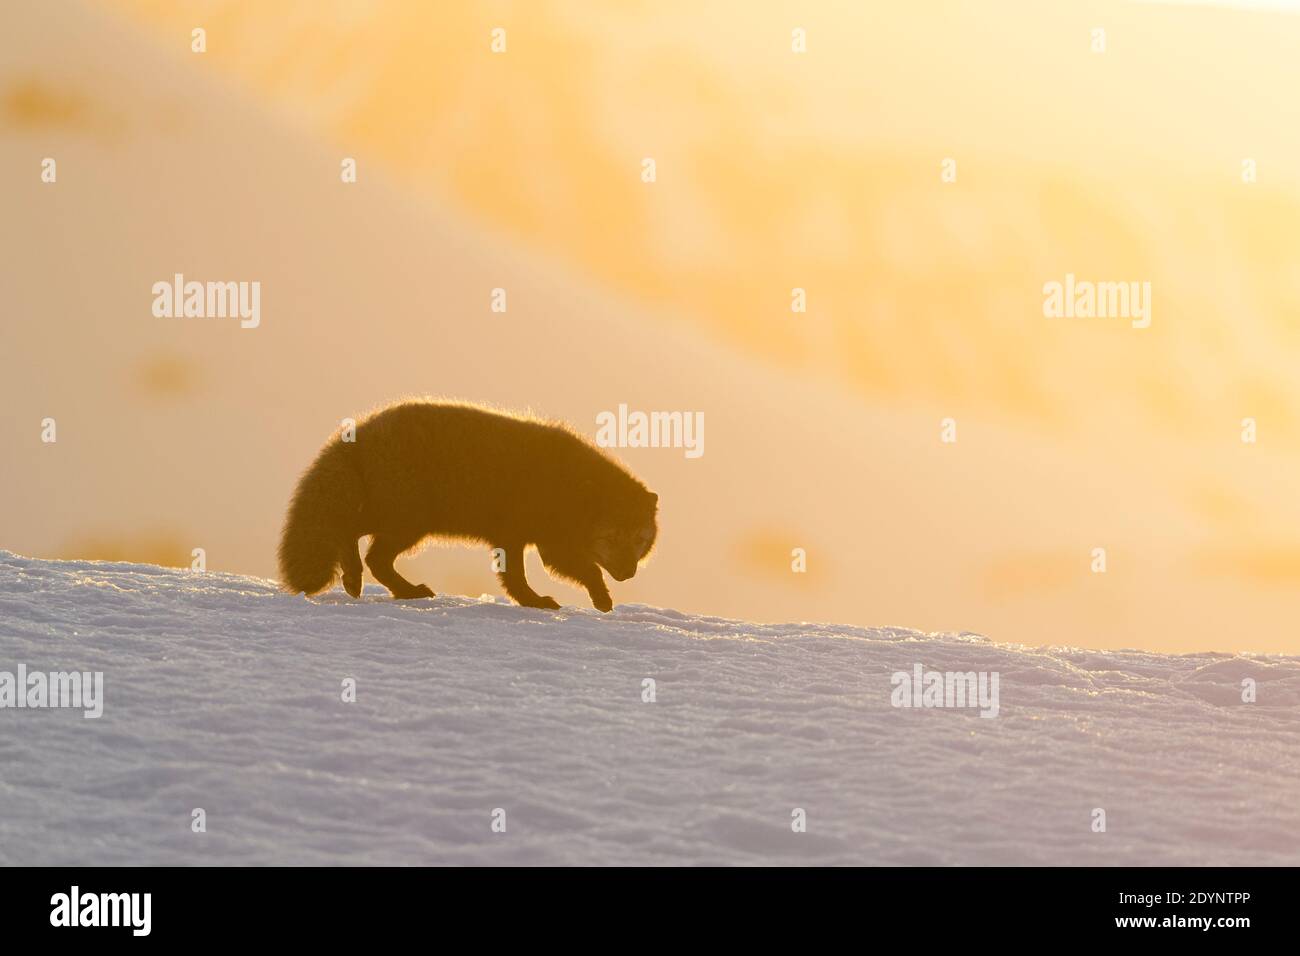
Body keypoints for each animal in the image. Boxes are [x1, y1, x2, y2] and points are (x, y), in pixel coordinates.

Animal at [277, 400, 658, 612]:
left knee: (361, 545)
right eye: (611, 538)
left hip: (400, 517)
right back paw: (388, 586)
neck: (574, 488)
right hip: (408, 519)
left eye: (639, 540)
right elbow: (573, 572)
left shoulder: (523, 539)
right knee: (363, 546)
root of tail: (359, 432)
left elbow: (516, 577)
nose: (627, 573)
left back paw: (374, 585)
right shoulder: (545, 542)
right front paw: (587, 600)